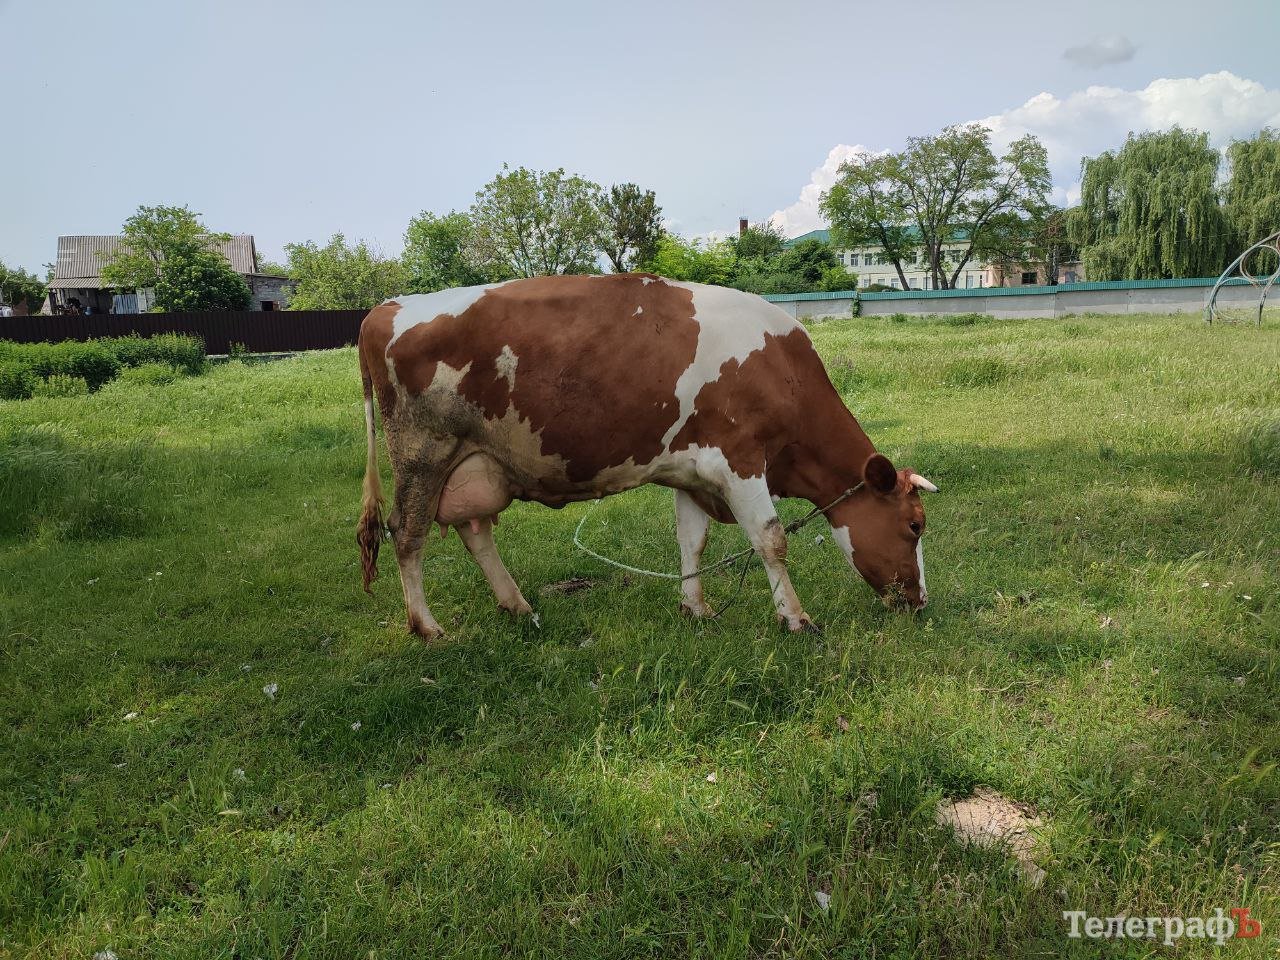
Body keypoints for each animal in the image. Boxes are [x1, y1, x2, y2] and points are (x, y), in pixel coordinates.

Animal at [356, 274, 936, 638]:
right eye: (914, 526)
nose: (920, 600)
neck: (782, 370)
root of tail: (385, 308)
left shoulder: (692, 472)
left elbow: (692, 541)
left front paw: (696, 608)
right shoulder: (740, 460)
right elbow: (771, 540)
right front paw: (796, 619)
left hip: (474, 461)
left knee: (474, 530)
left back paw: (517, 605)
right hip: (421, 453)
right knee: (406, 535)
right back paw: (428, 627)